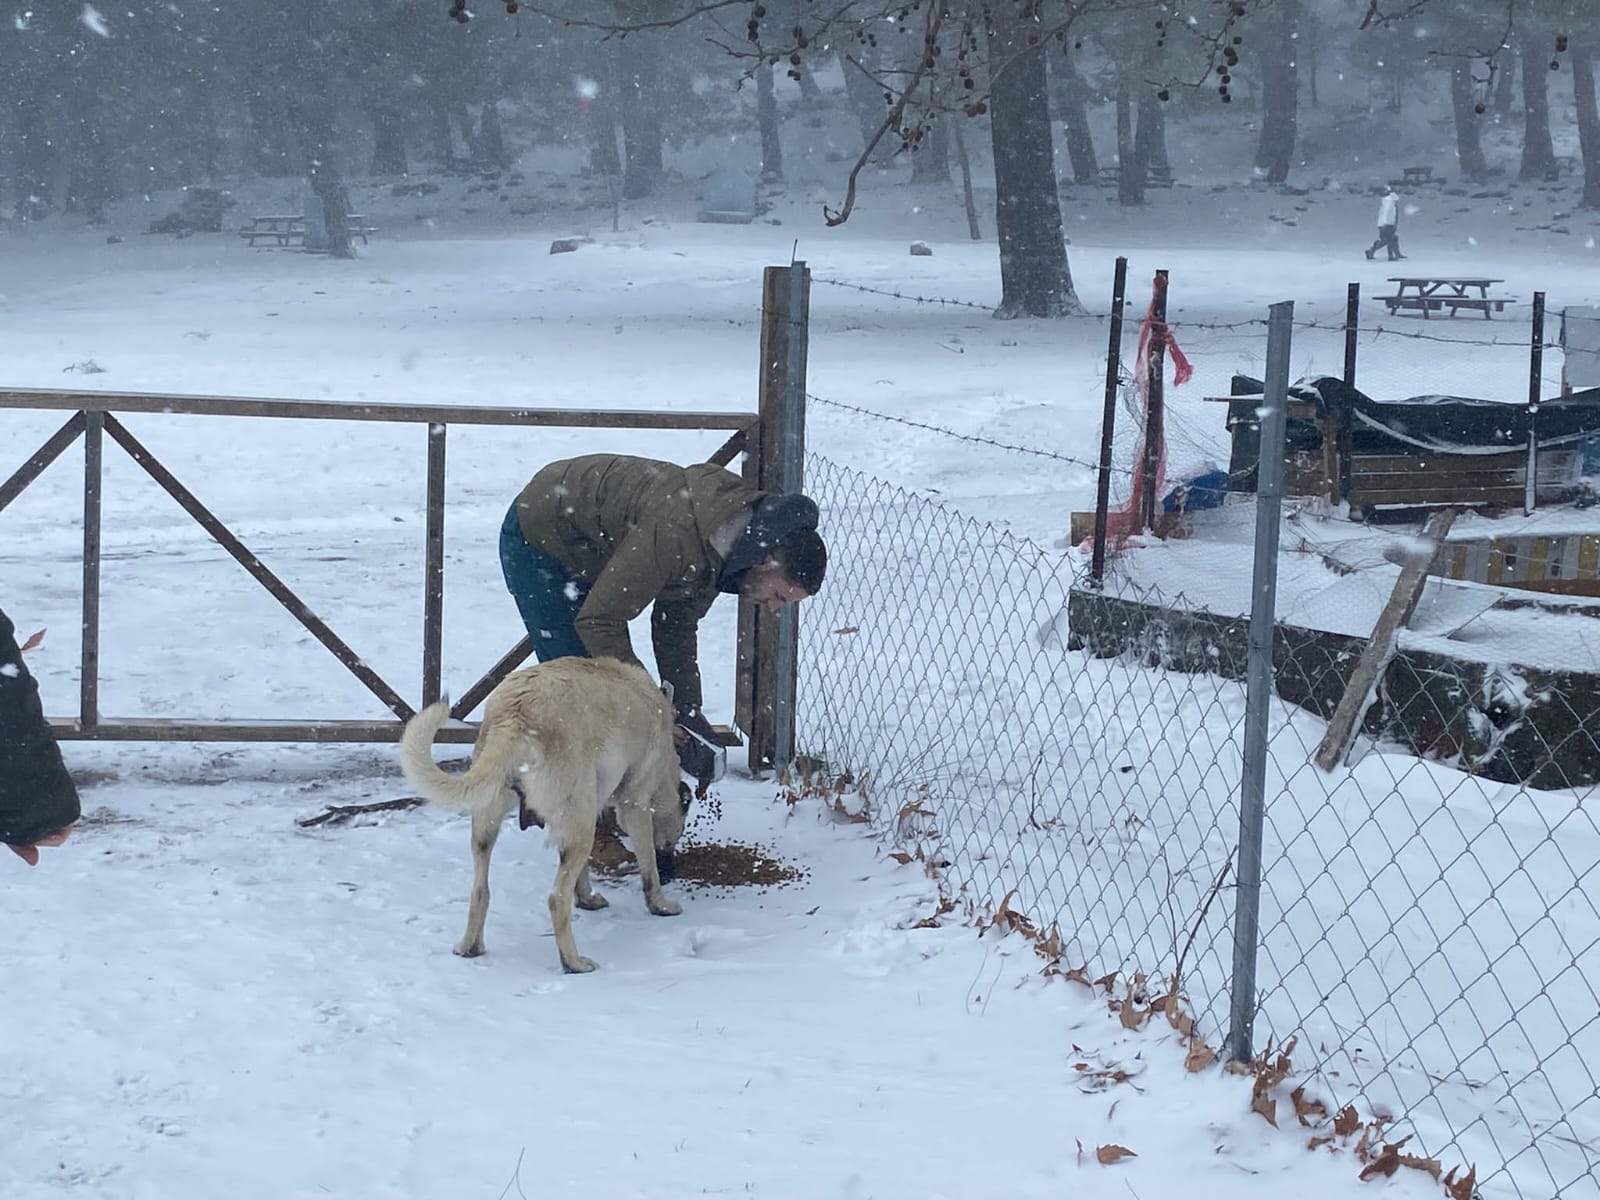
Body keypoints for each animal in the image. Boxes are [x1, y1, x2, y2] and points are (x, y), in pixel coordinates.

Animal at [400, 659, 688, 979]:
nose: (672, 862)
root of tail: (515, 715)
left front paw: (587, 898)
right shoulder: (633, 805)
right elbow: (648, 867)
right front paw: (660, 904)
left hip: (489, 821)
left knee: (480, 890)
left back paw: (470, 947)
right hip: (579, 826)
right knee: (556, 900)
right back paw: (573, 962)